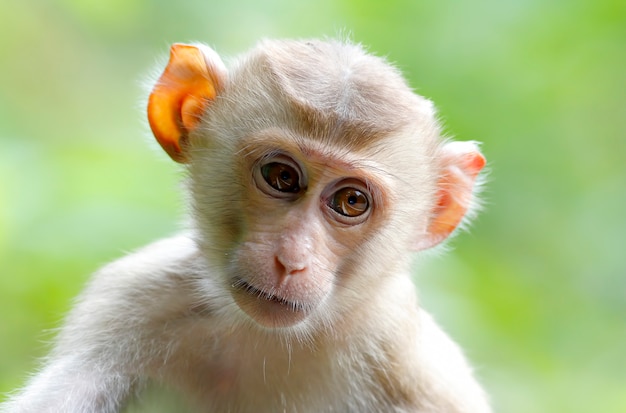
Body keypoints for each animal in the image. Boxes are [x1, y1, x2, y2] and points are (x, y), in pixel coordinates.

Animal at [0, 39, 488, 412]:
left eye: (351, 201)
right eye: (282, 176)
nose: (291, 259)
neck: (268, 338)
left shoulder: (406, 360)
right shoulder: (130, 303)